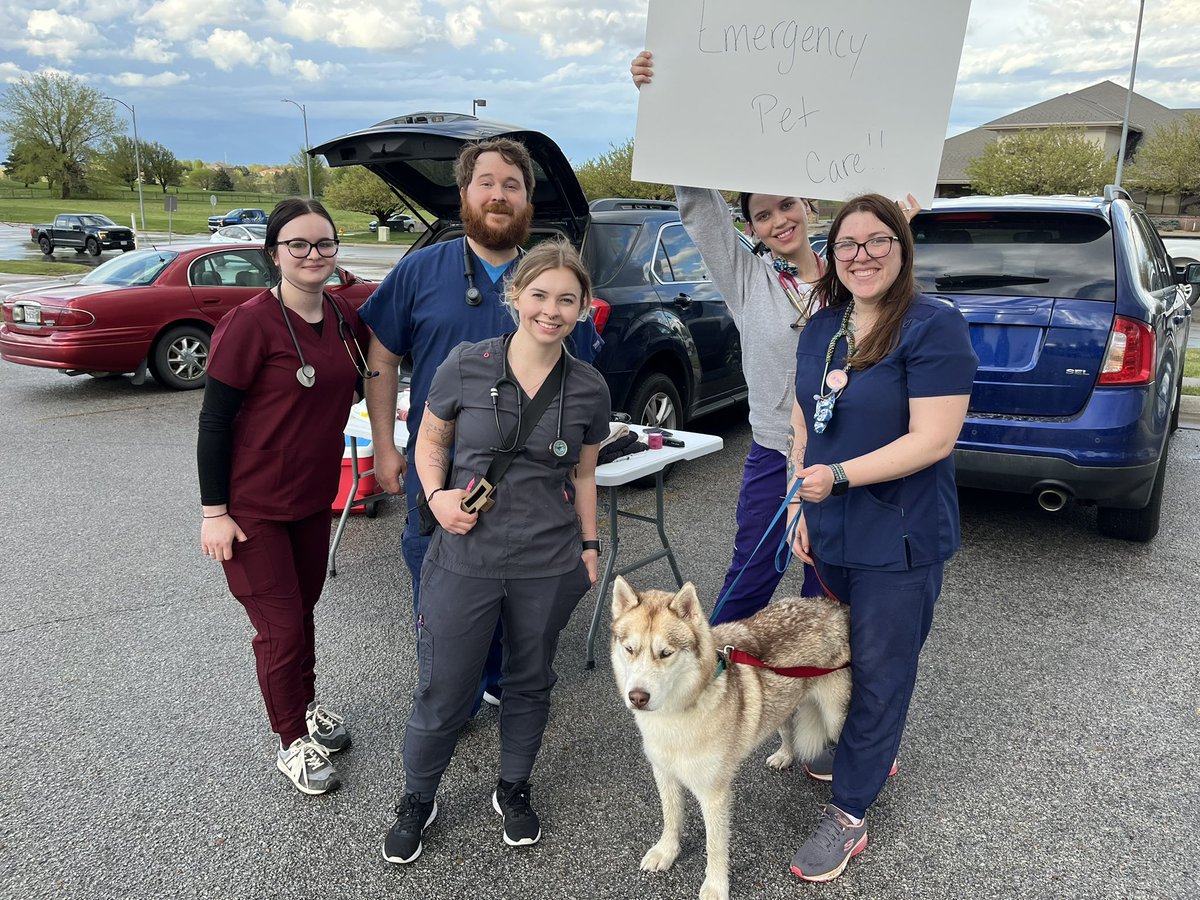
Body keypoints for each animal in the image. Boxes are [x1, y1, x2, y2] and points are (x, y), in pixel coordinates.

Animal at [609, 578, 854, 900]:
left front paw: (715, 886)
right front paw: (667, 852)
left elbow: (715, 846)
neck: (679, 712)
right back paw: (785, 755)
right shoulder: (664, 773)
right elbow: (671, 818)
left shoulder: (714, 794)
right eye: (630, 649)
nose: (637, 697)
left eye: (665, 653)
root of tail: (830, 604)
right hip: (782, 701)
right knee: (787, 728)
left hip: (836, 716)